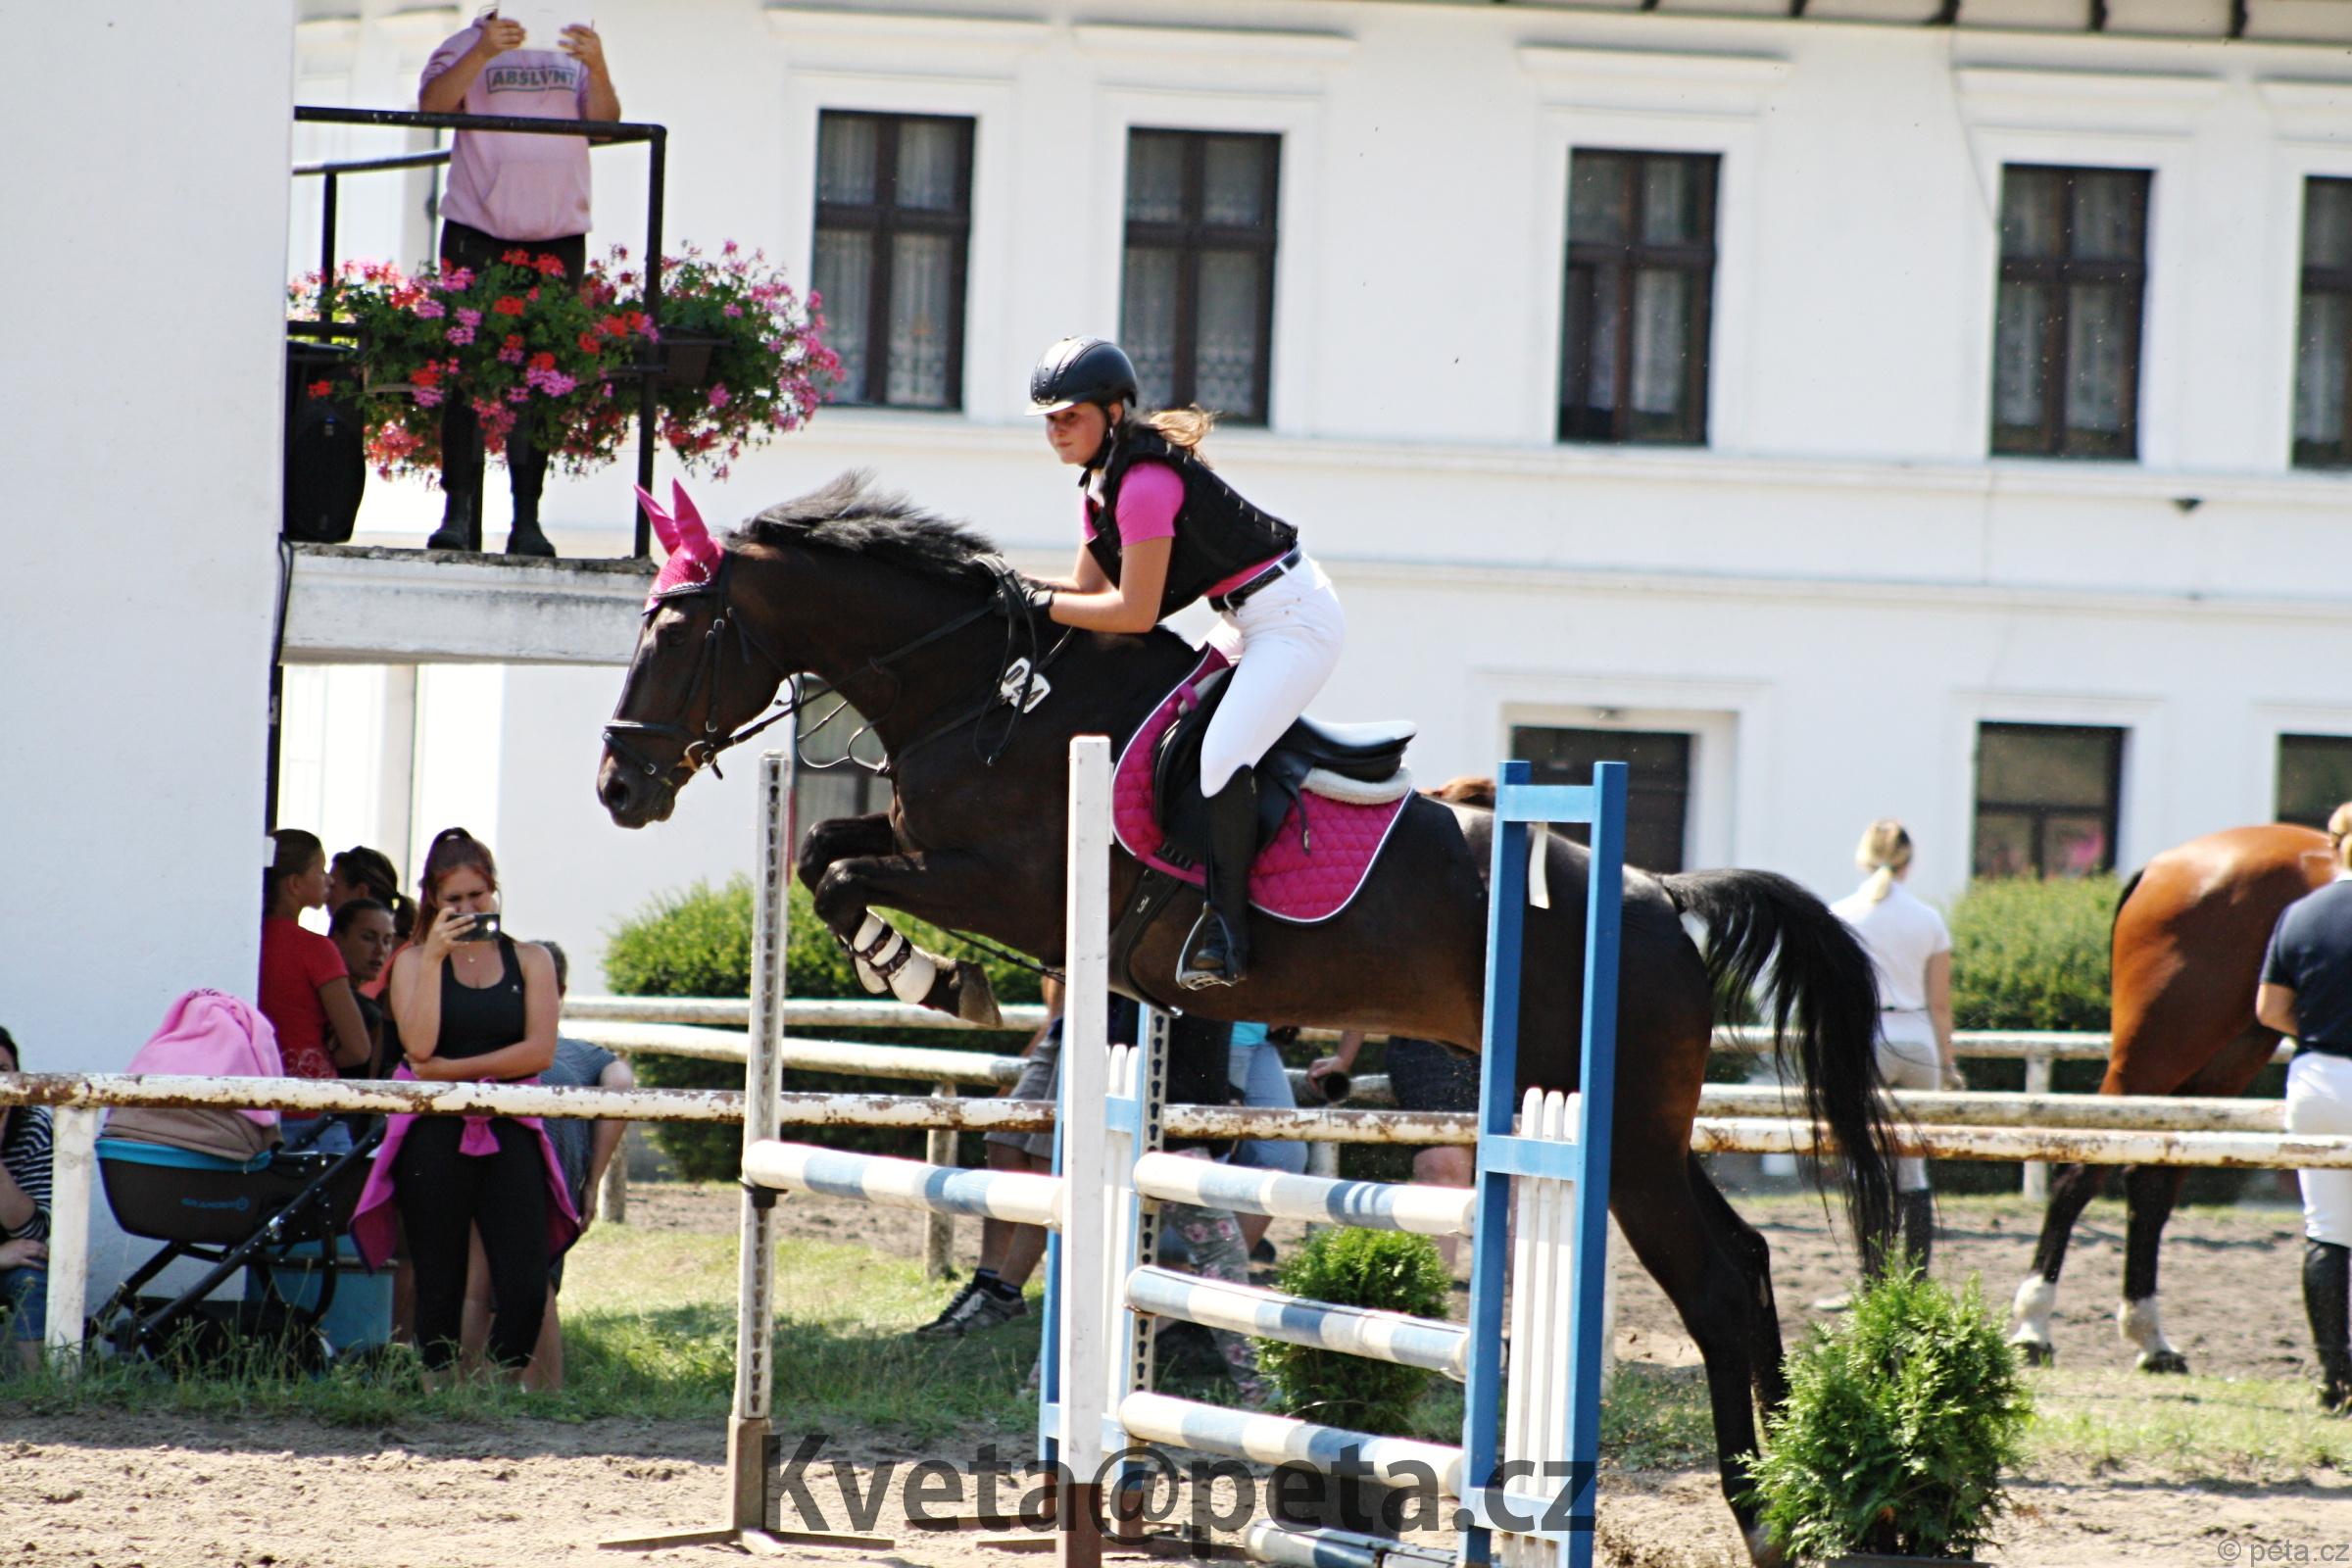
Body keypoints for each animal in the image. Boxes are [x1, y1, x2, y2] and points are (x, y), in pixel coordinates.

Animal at [596, 474, 1898, 1563]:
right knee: (1746, 1260)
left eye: (678, 633)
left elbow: (840, 868)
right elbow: (824, 844)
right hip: (1639, 1130)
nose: (620, 786)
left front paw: (931, 982)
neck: (991, 698)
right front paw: (920, 974)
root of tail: (1664, 895)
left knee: (1717, 1283)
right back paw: (1790, 1493)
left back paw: (1765, 1508)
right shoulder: (942, 853)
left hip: (1612, 1132)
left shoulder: (1012, 885)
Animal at [2007, 824, 2331, 1371]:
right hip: (2158, 1052)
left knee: (2151, 1184)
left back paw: (2151, 1338)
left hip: (2224, 1064)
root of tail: (2163, 865)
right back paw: (2034, 1328)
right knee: (2083, 1171)